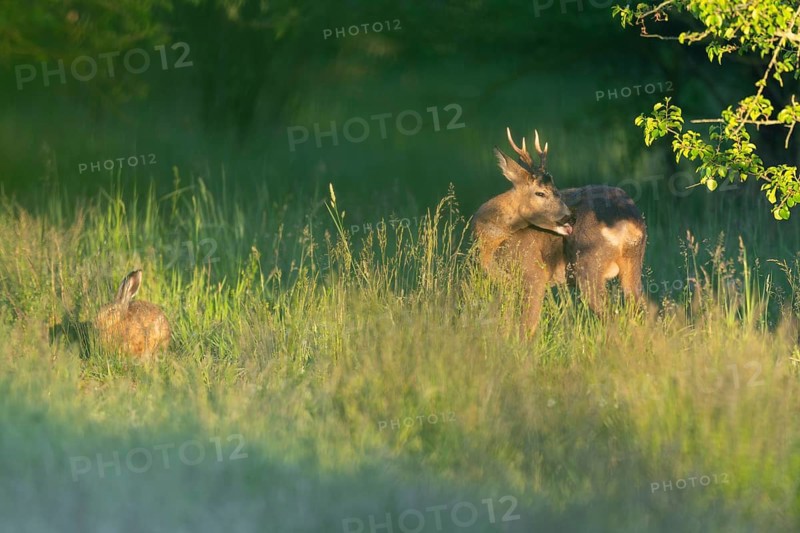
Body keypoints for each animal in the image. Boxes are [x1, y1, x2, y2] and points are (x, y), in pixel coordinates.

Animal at [471, 127, 647, 334]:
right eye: (541, 192)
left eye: (556, 190)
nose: (569, 217)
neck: (493, 243)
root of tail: (627, 218)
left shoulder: (533, 273)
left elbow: (527, 326)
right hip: (633, 261)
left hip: (588, 264)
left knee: (612, 316)